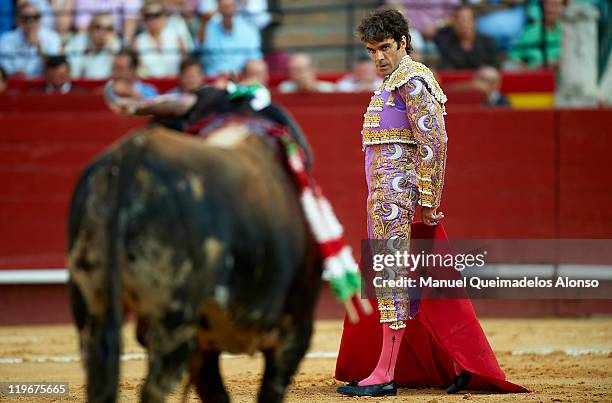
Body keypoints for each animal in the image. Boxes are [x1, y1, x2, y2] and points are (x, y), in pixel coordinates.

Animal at [66, 124, 322, 402]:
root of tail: (134, 151)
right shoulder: (292, 333)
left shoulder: (204, 347)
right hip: (173, 317)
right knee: (153, 388)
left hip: (93, 306)